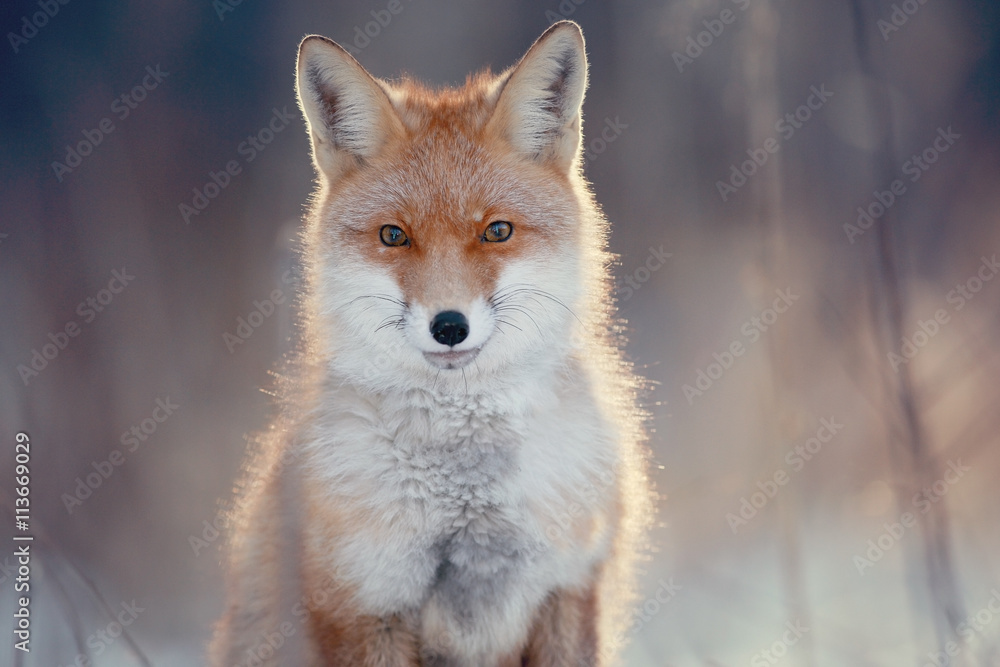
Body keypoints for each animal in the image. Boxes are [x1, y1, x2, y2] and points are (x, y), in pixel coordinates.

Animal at [209, 20, 653, 667]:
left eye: (497, 231)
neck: (468, 497)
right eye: (394, 236)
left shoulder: (569, 588)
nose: (449, 326)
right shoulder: (364, 605)